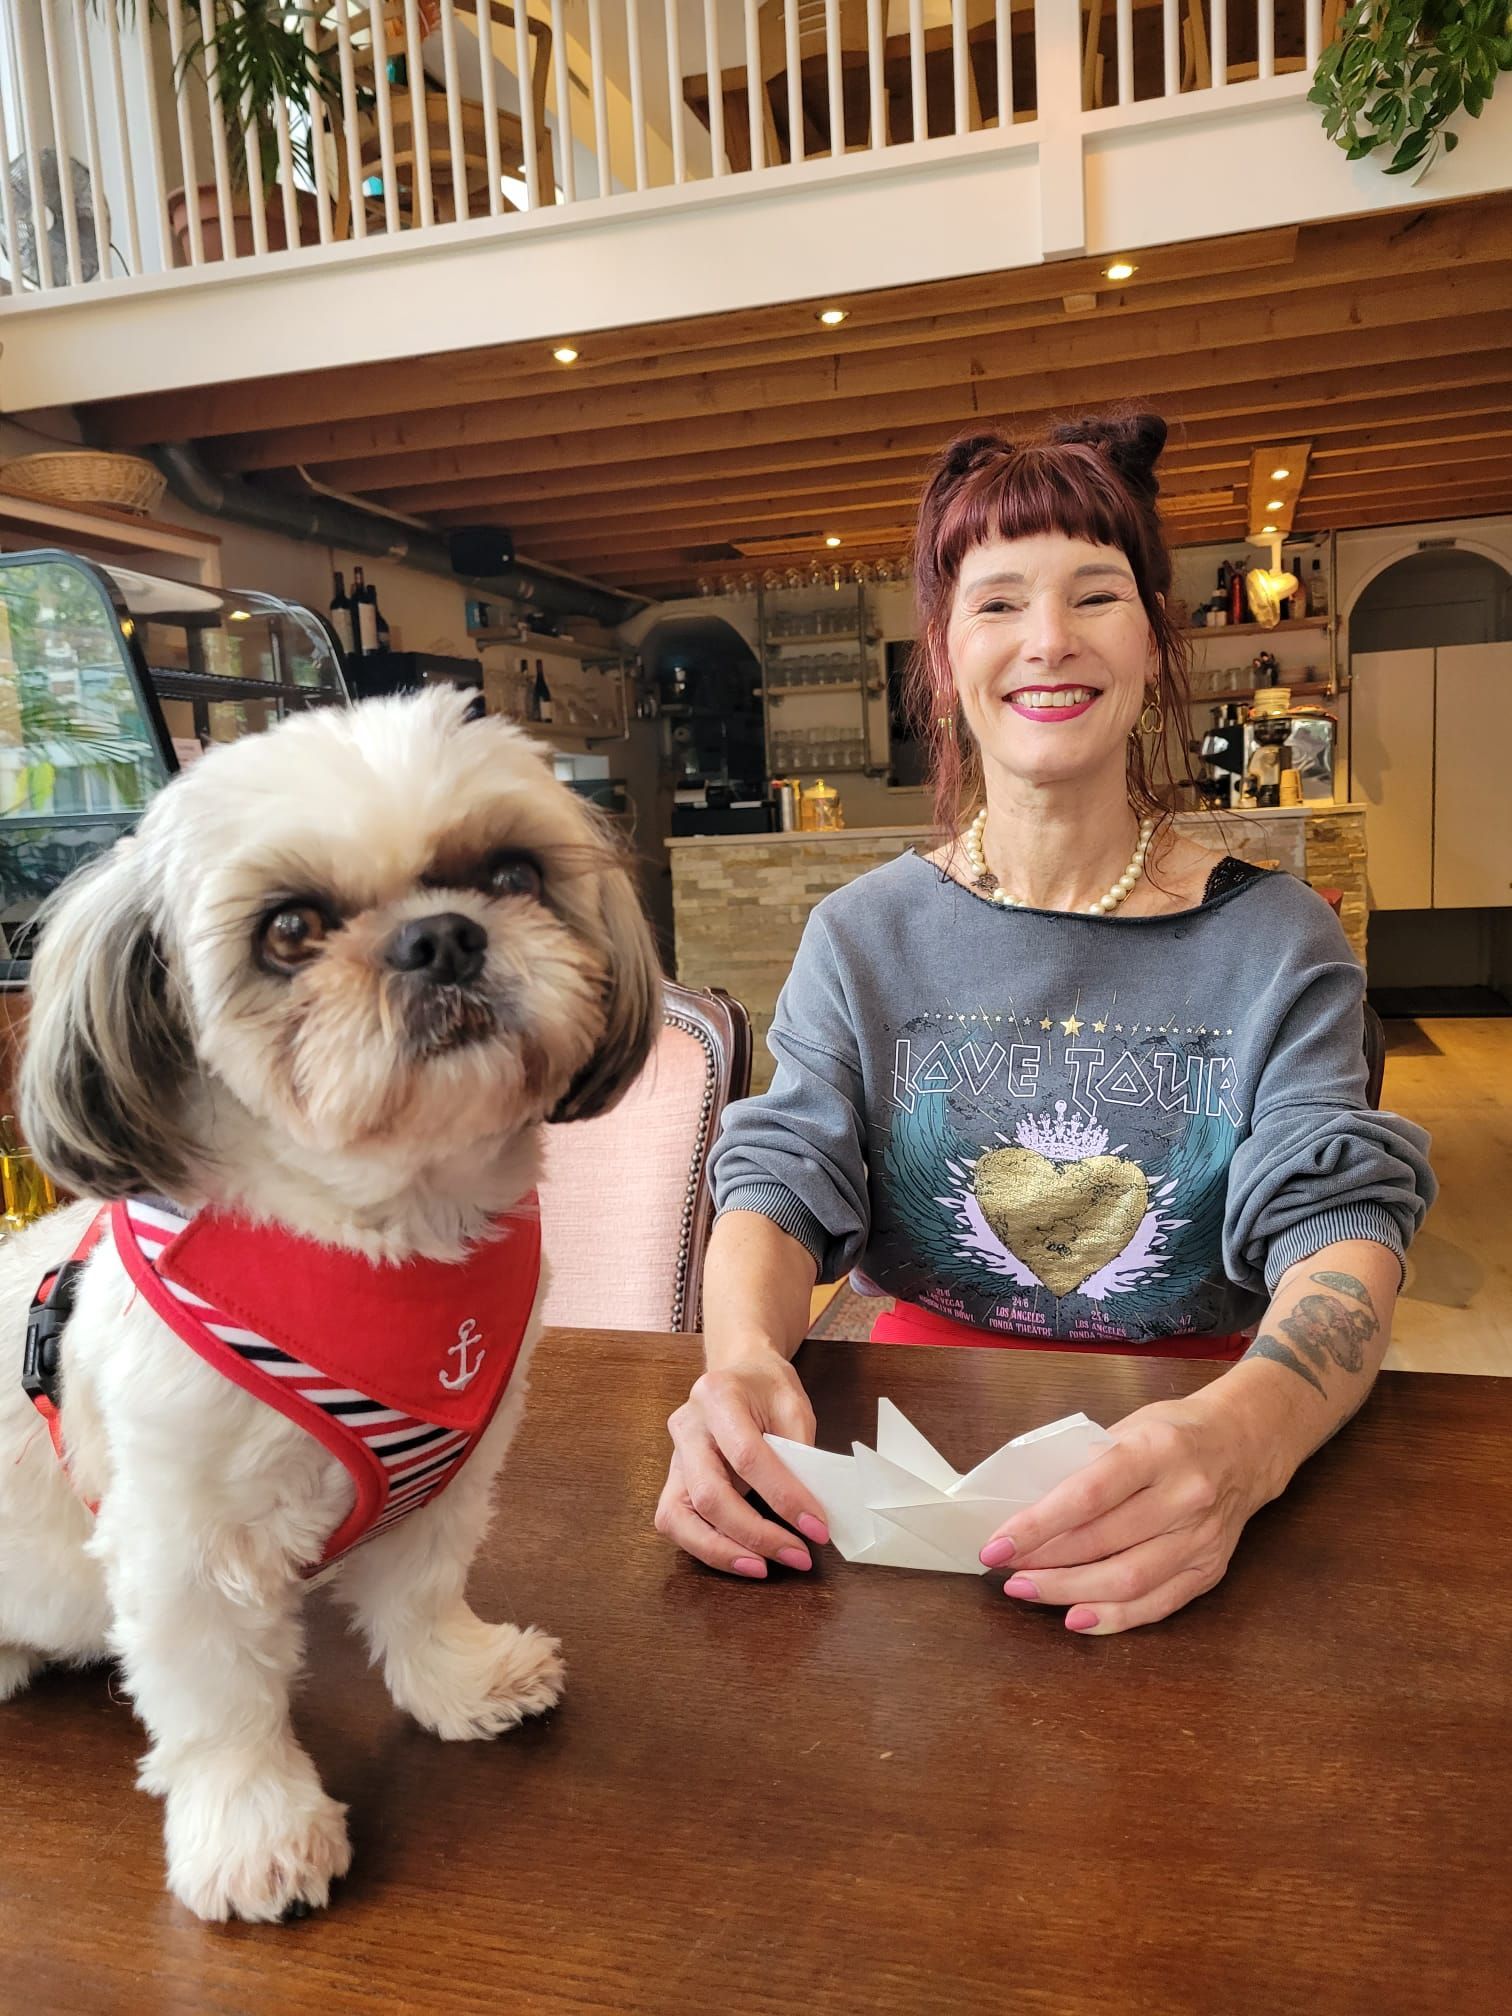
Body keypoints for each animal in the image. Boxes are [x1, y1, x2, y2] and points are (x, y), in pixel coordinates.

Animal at [0, 686, 660, 1921]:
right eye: (290, 930)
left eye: (510, 873)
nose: (442, 936)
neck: (389, 1242)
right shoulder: (183, 1542)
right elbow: (220, 1705)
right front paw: (255, 1831)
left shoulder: (446, 1476)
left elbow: (421, 1596)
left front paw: (461, 1677)